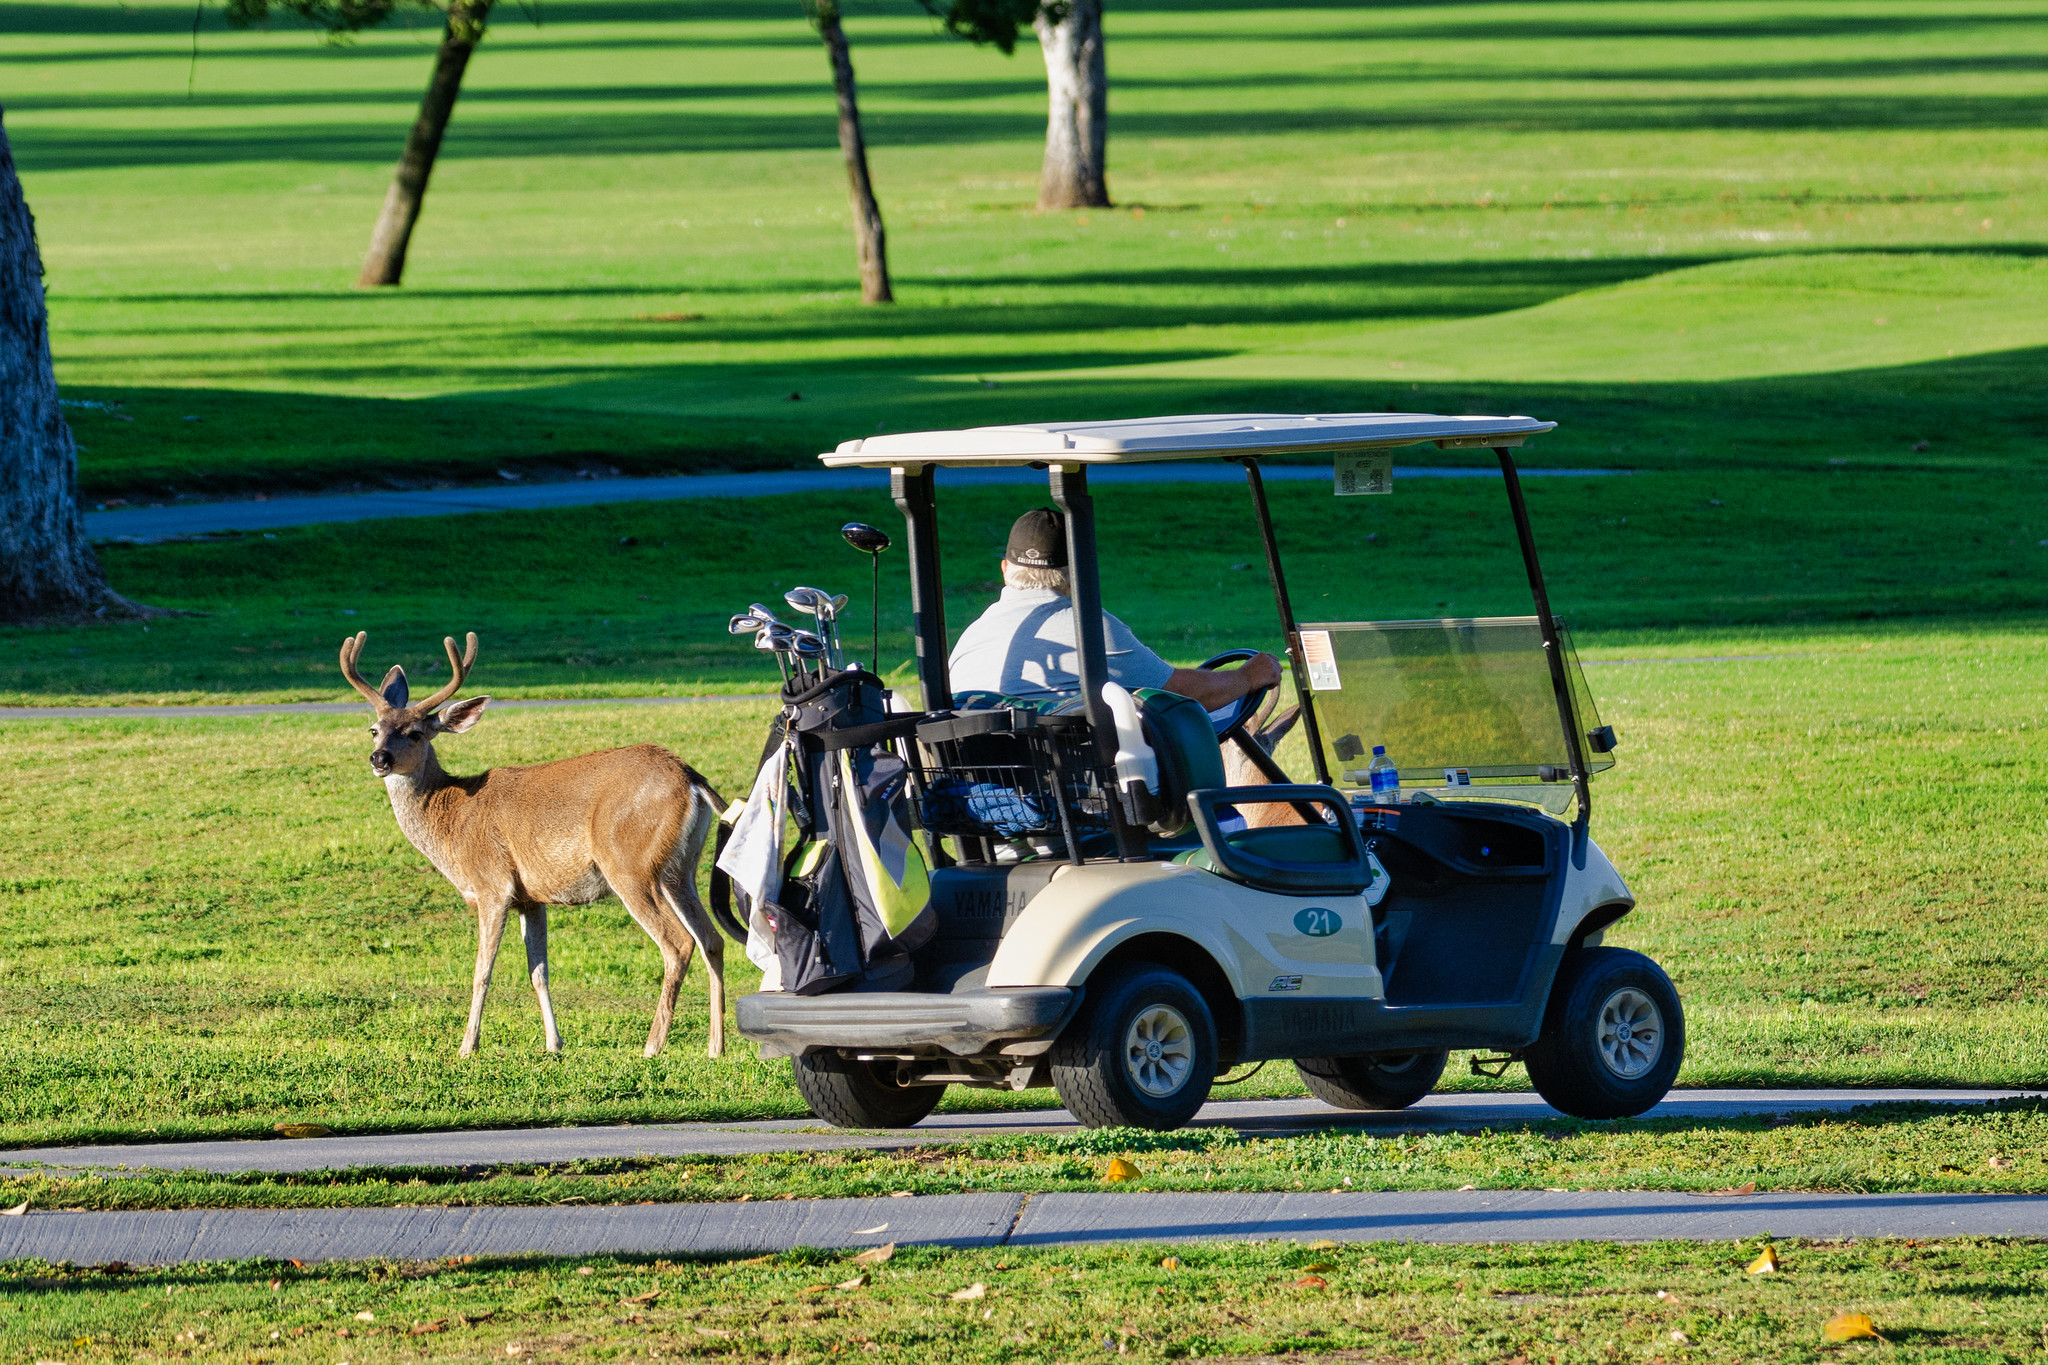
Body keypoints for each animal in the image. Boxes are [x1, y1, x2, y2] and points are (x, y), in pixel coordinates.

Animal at [333, 634, 720, 1064]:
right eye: (374, 729)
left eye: (415, 732)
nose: (379, 758)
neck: (453, 819)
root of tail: (691, 778)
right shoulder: (531, 897)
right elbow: (539, 972)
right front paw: (554, 1043)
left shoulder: (492, 885)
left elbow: (482, 971)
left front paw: (467, 1046)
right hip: (680, 869)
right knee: (712, 939)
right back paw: (715, 1046)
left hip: (629, 863)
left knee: (678, 943)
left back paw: (652, 1046)